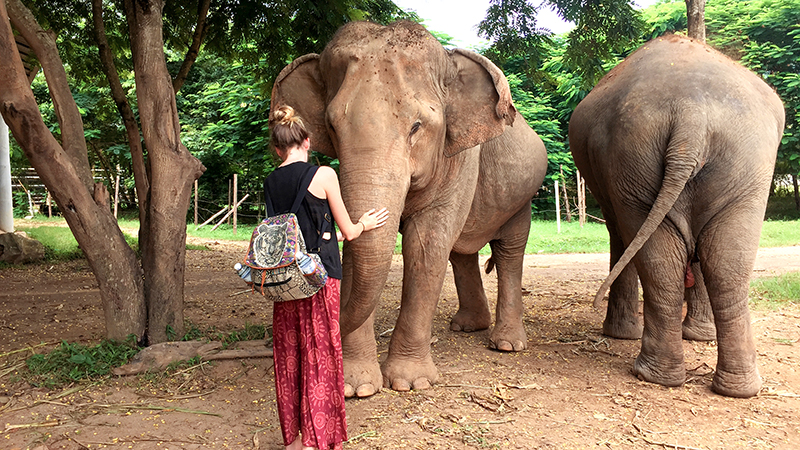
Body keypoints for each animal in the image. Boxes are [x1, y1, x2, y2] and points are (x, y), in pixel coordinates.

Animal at [271, 21, 547, 397]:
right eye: (331, 127)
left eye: (417, 126)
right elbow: (362, 249)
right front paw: (356, 387)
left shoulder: (460, 157)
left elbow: (425, 244)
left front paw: (408, 382)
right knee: (460, 253)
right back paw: (468, 326)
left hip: (521, 198)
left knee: (509, 253)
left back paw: (506, 344)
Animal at [568, 34, 785, 398]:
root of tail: (691, 112)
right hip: (654, 165)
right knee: (700, 262)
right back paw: (670, 376)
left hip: (724, 164)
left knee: (718, 262)